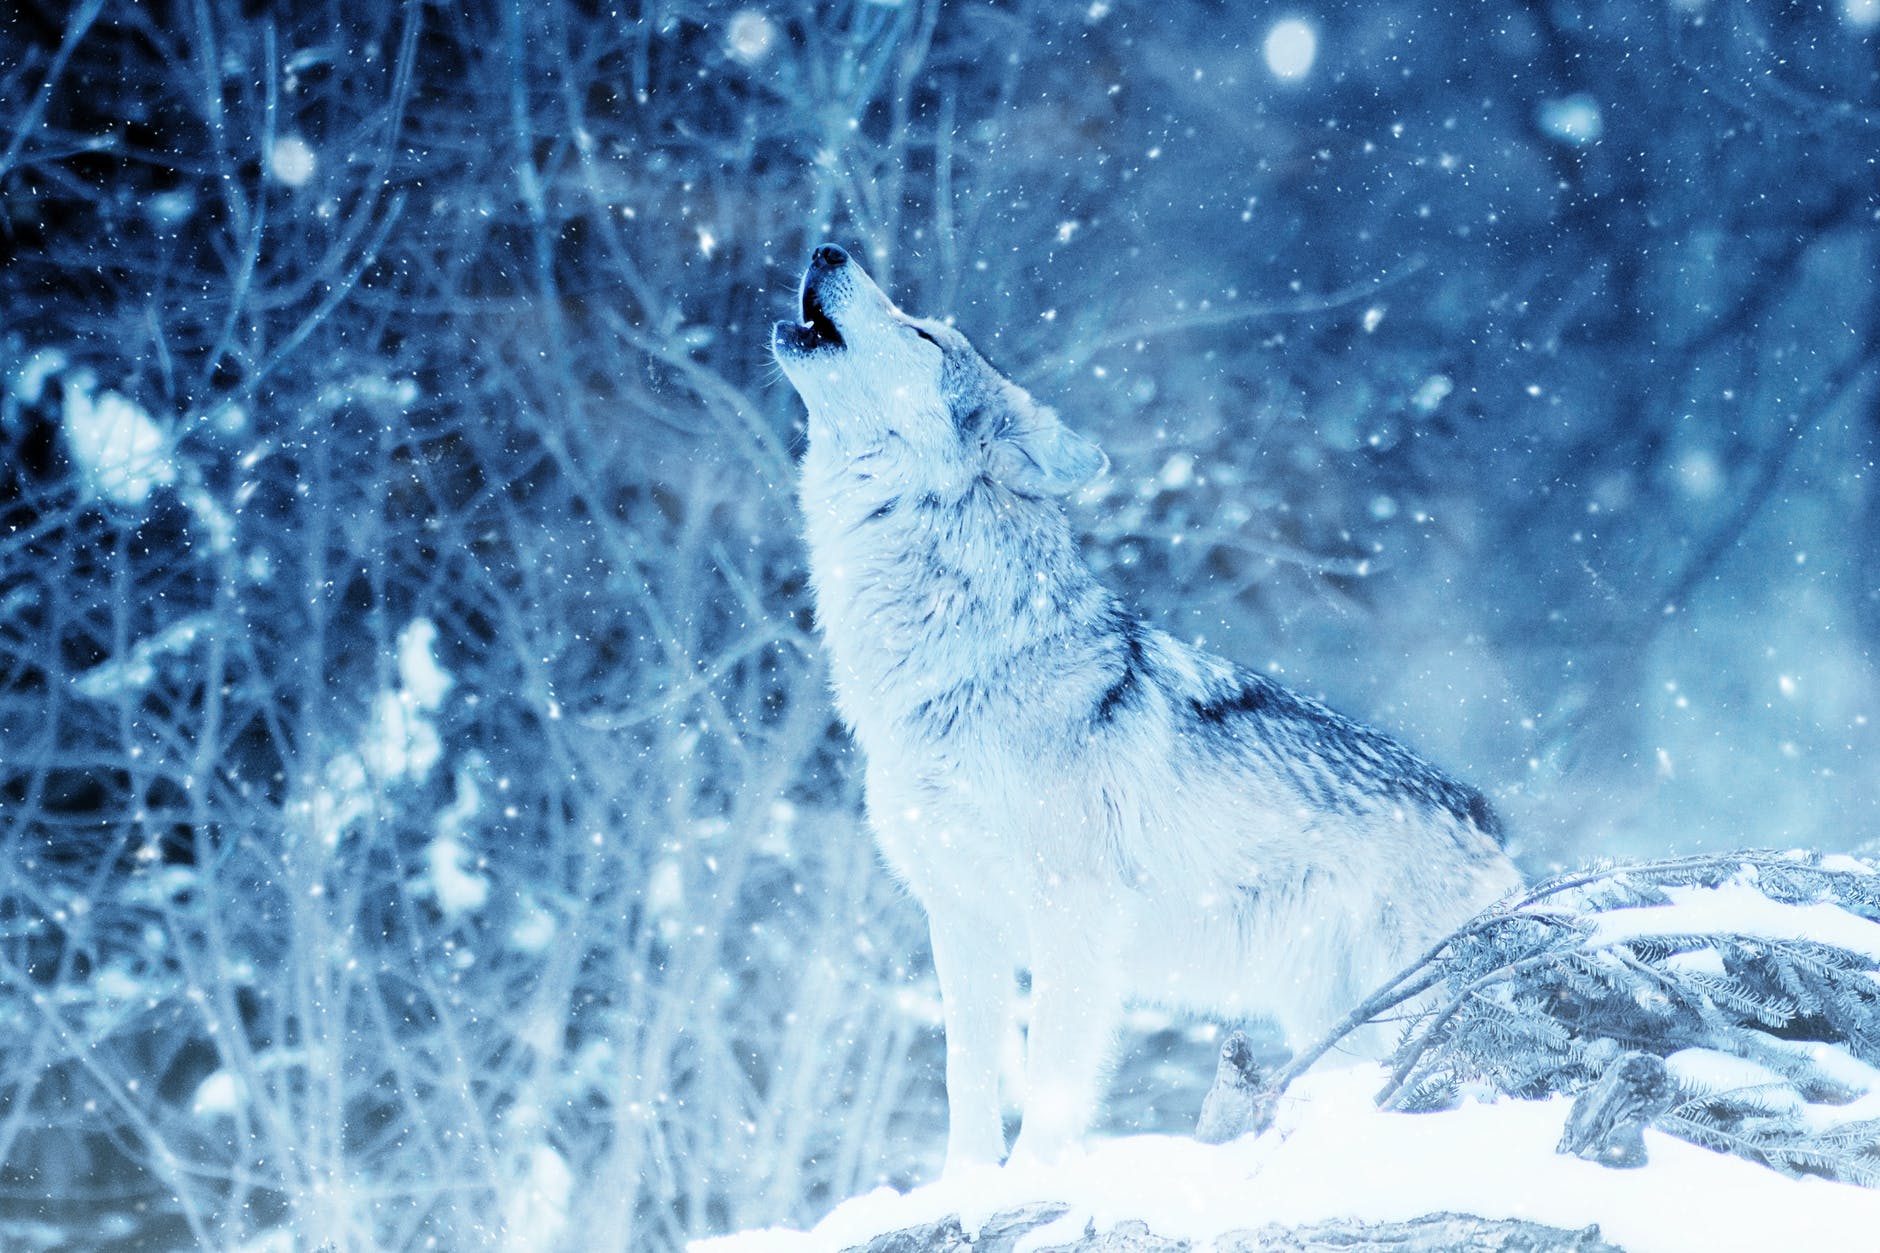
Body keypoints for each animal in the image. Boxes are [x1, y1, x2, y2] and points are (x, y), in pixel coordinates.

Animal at [772, 245, 1522, 1173]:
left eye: (922, 333)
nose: (828, 249)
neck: (959, 663)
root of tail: (1489, 819)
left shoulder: (1073, 919)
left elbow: (1052, 1085)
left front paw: (1032, 1182)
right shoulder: (961, 920)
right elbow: (966, 1080)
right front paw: (964, 1186)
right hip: (1333, 1020)